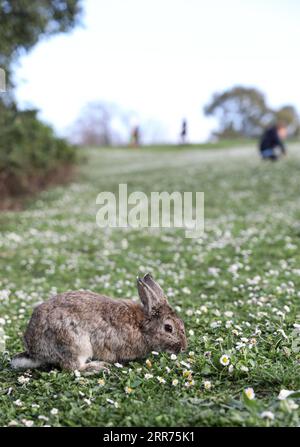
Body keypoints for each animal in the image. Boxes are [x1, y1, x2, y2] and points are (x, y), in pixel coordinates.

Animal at [10, 272, 186, 374]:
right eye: (168, 328)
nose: (184, 348)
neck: (142, 326)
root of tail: (35, 352)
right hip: (75, 343)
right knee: (71, 367)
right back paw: (97, 367)